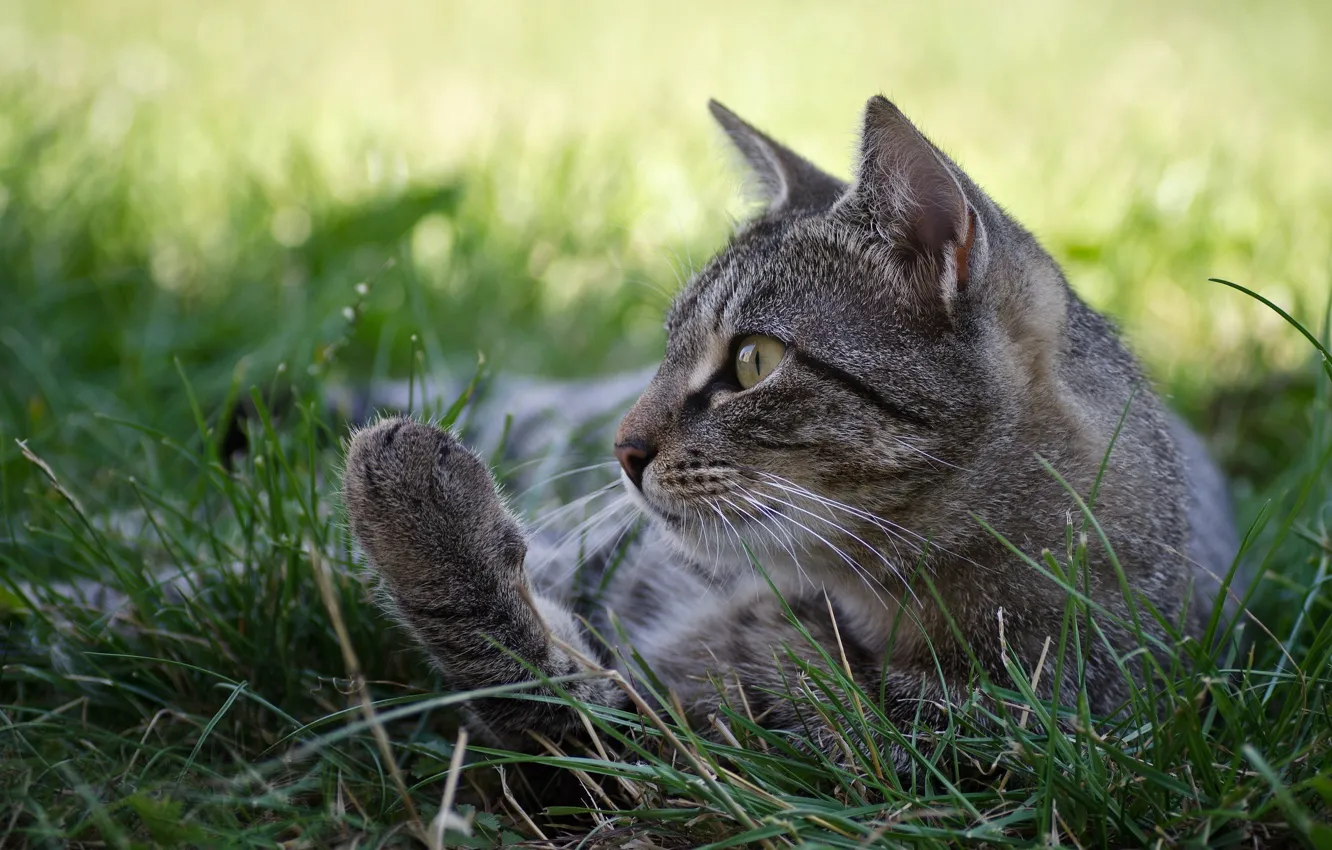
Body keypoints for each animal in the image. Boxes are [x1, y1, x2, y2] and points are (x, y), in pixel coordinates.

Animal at [340, 94, 1236, 772]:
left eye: (753, 361)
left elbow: (542, 692)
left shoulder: (738, 748)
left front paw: (410, 500)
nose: (622, 451)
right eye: (665, 345)